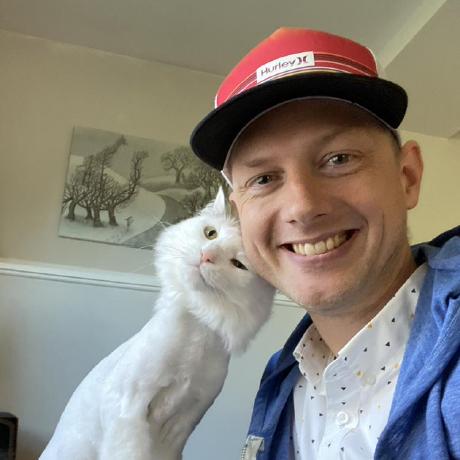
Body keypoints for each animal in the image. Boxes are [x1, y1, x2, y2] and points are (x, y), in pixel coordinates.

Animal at [40, 188, 275, 460]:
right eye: (210, 233)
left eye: (238, 264)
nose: (207, 255)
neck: (197, 332)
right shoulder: (129, 408)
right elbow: (131, 452)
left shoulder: (182, 425)